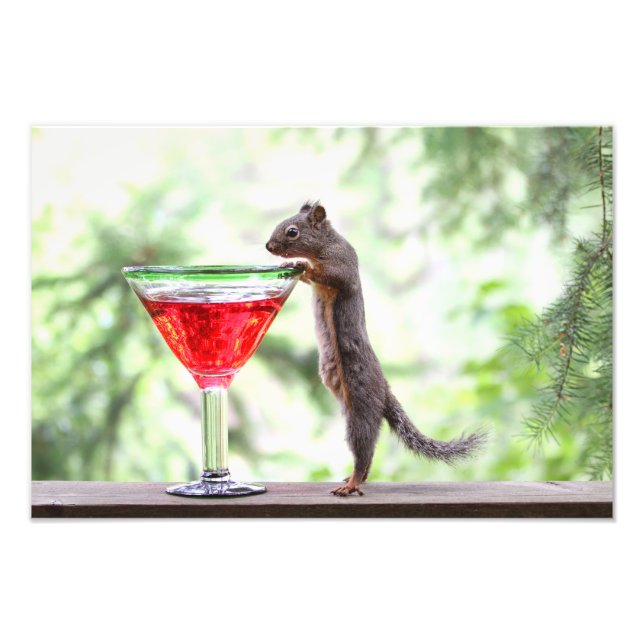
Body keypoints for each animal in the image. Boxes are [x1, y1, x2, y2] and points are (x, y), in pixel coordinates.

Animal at [266, 200, 487, 496]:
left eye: (292, 232)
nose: (269, 246)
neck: (326, 243)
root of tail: (384, 390)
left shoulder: (343, 264)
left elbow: (329, 275)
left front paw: (301, 264)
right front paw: (290, 264)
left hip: (361, 409)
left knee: (364, 450)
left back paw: (352, 483)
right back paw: (354, 479)